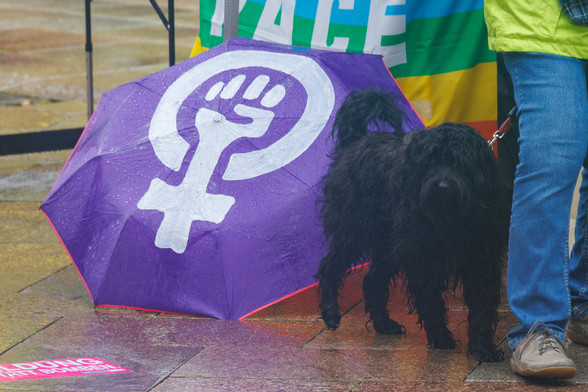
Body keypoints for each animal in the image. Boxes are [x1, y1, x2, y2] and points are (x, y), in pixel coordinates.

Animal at [316, 89, 510, 362]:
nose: (443, 186)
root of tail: (356, 141)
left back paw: (384, 324)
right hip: (352, 230)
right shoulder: (421, 255)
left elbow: (482, 306)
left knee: (373, 279)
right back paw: (331, 313)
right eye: (430, 162)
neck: (450, 218)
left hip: (387, 242)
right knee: (330, 267)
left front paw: (483, 347)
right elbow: (430, 301)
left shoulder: (481, 259)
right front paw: (441, 338)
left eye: (460, 163)